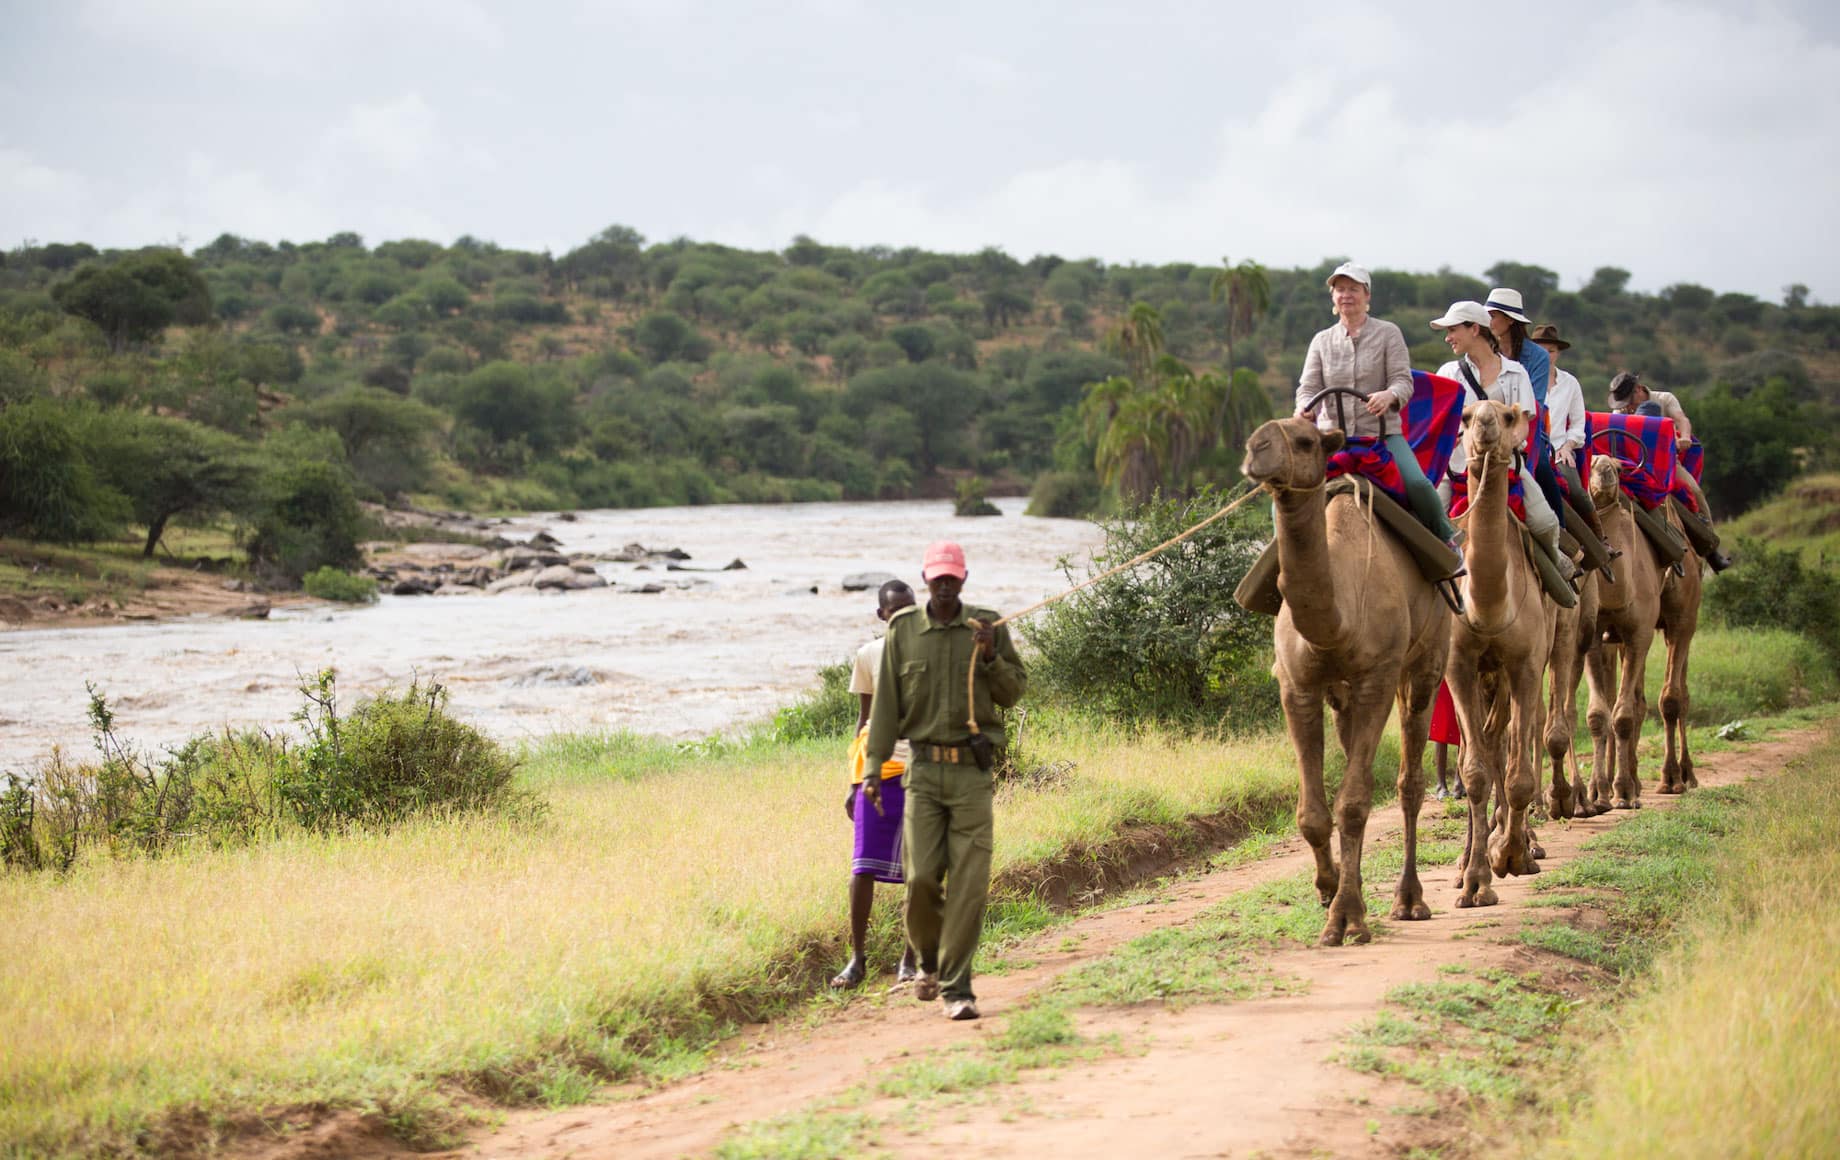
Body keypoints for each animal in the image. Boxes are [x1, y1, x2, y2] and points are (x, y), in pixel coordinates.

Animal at [1236, 417, 1449, 942]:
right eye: (1256, 434)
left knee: (1408, 781)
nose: (1256, 451)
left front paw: (1346, 917)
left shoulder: (1377, 679)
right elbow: (1313, 813)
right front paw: (1330, 890)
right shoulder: (1297, 686)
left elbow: (1353, 803)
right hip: (1343, 696)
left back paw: (1408, 900)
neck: (1339, 619)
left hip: (1427, 661)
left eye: (1305, 440)